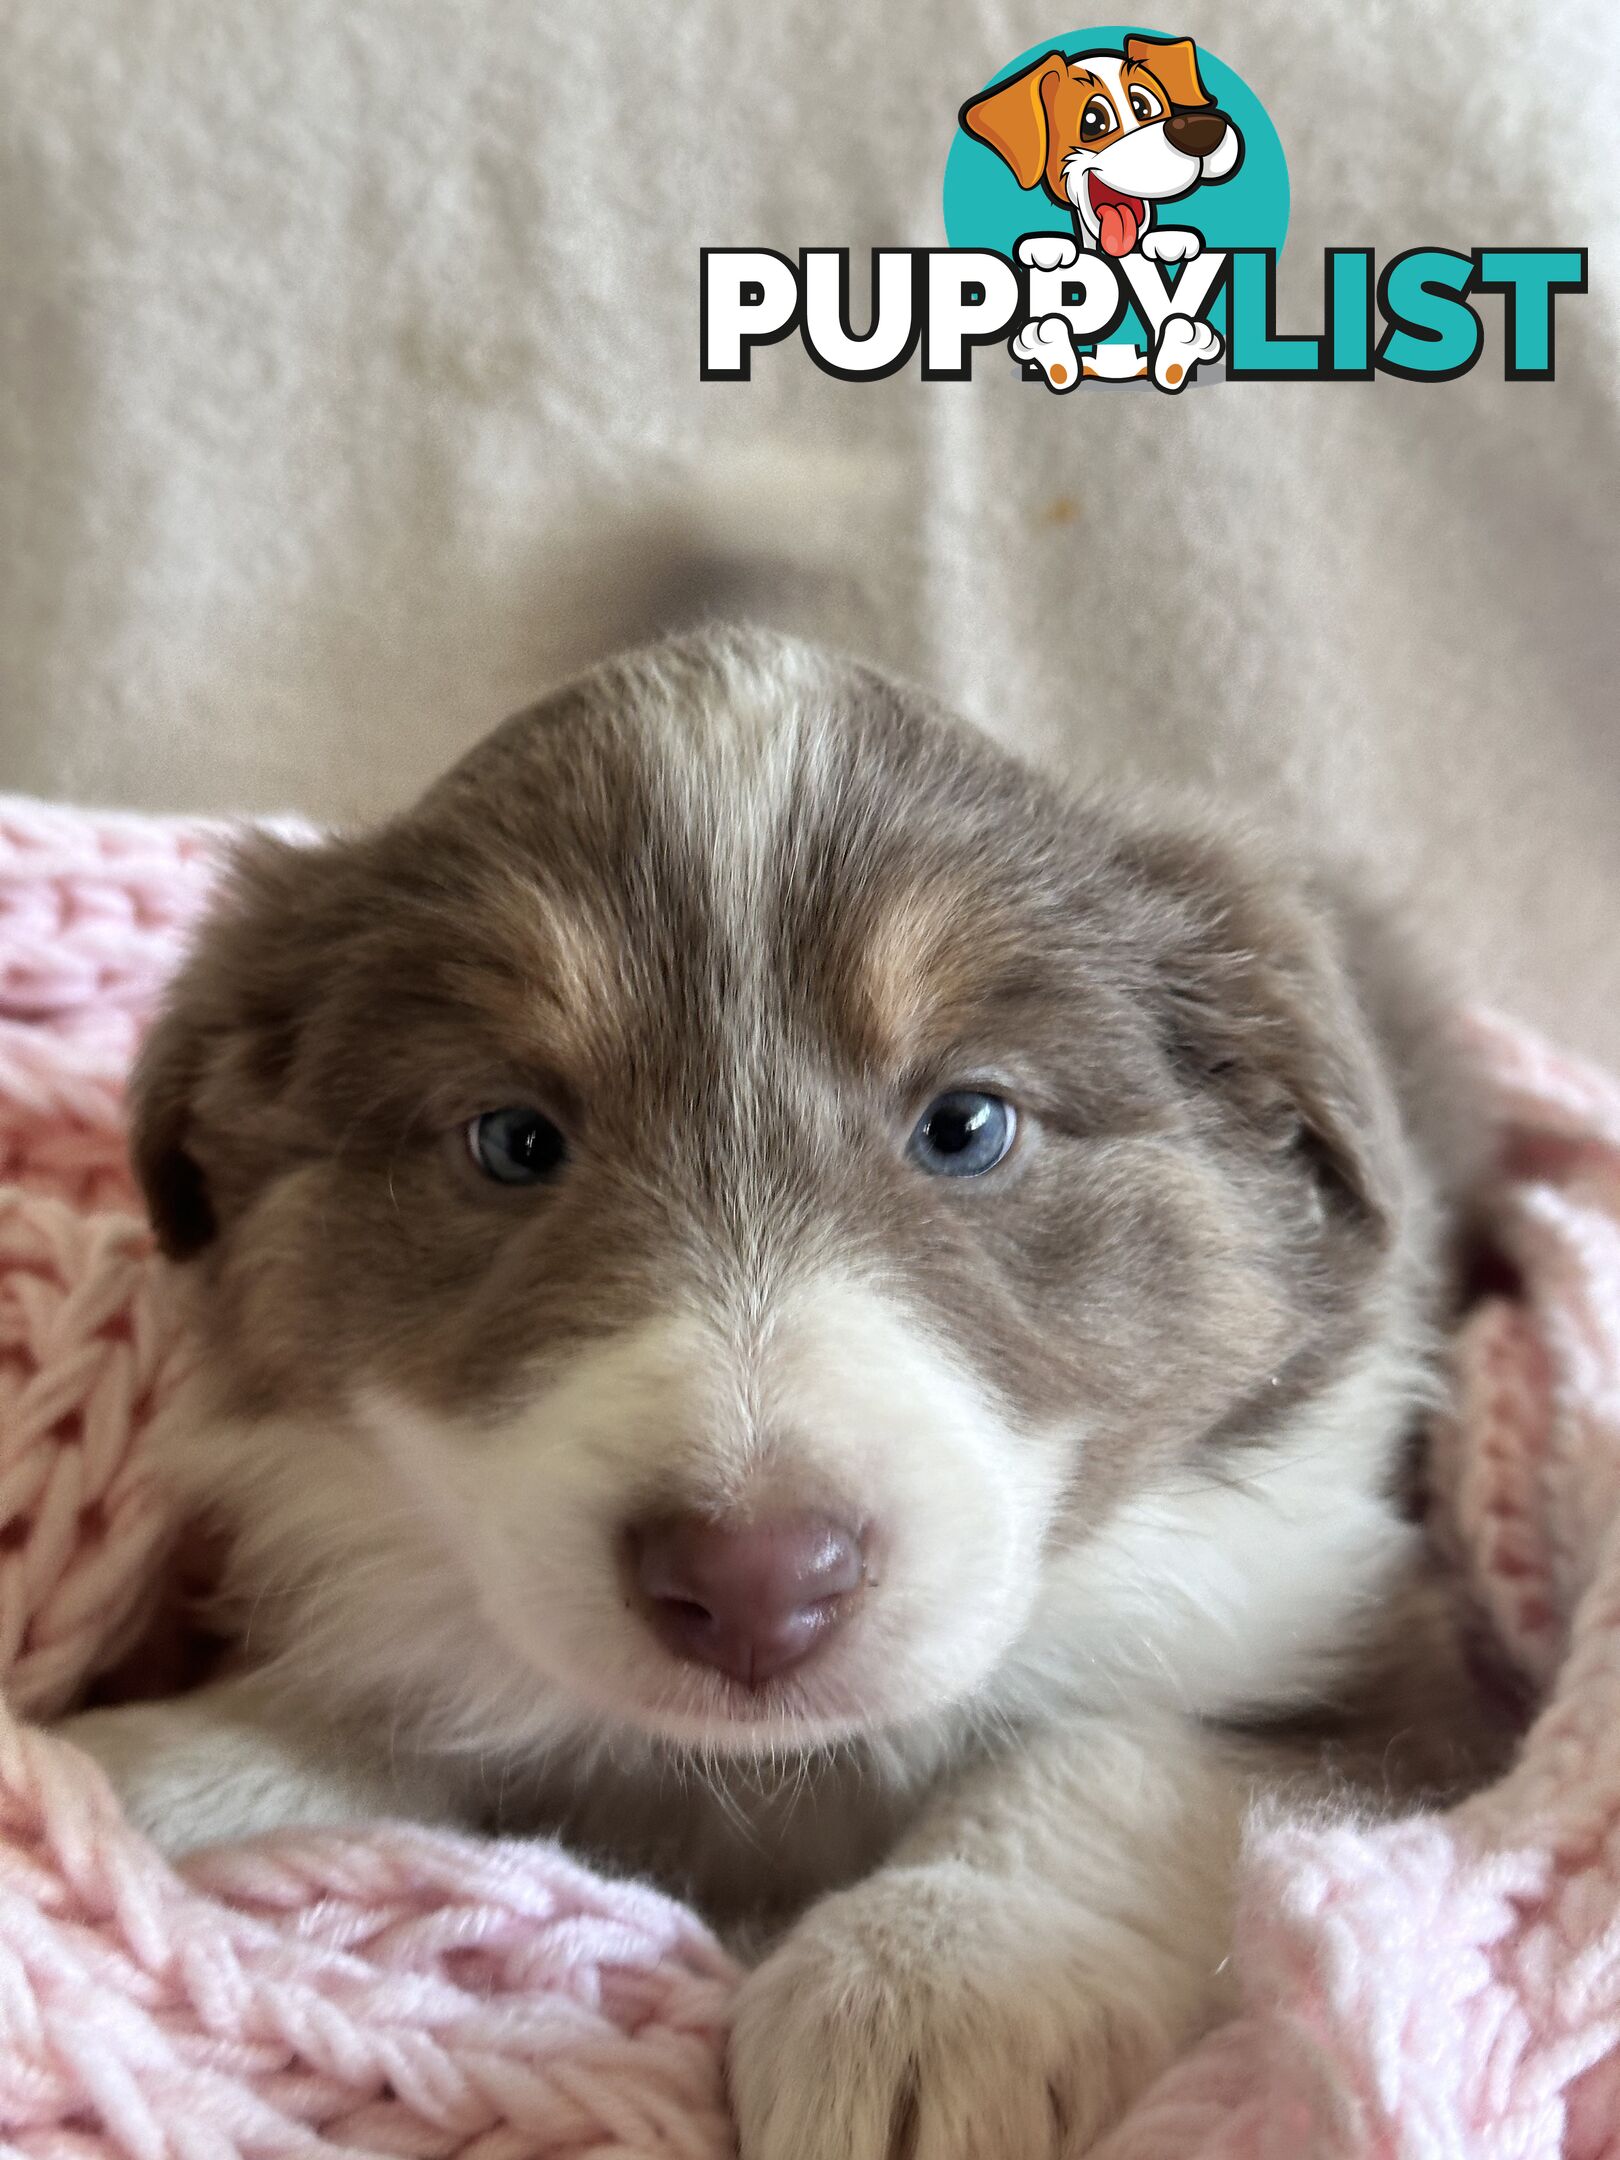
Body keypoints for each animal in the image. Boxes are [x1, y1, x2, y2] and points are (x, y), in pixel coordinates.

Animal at [69, 630, 1503, 2160]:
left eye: (968, 1125)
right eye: (513, 1139)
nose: (756, 1580)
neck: (770, 1777)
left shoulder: (1389, 1687)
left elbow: (1115, 1751)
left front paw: (936, 1973)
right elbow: (411, 1694)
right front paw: (174, 1768)